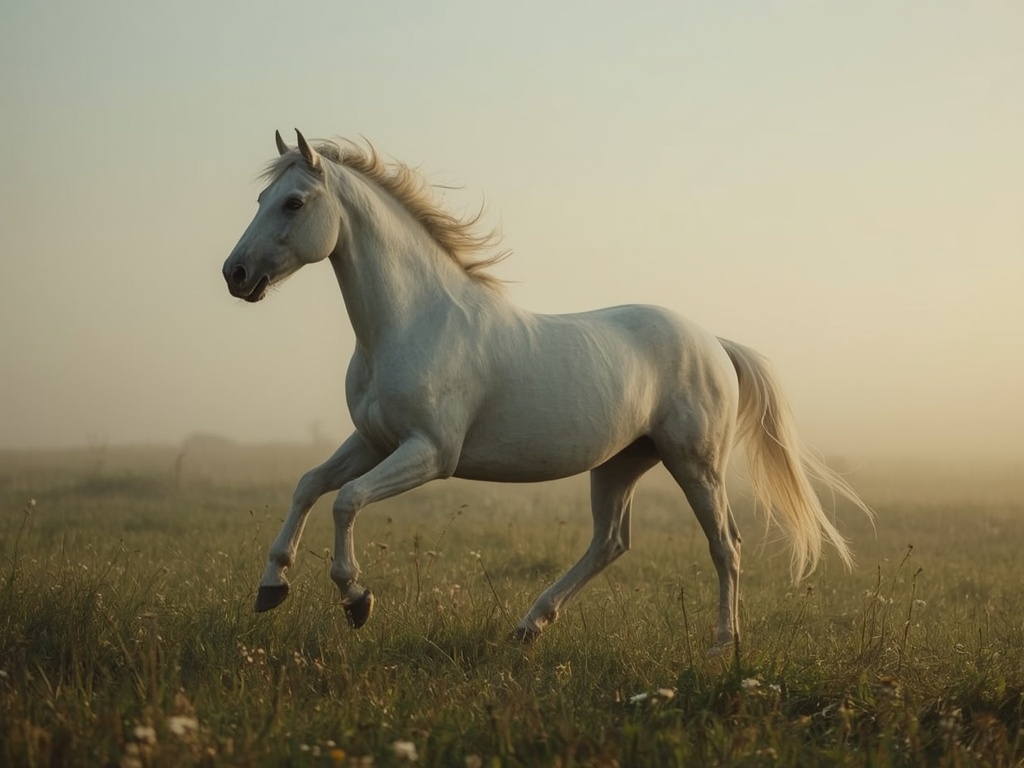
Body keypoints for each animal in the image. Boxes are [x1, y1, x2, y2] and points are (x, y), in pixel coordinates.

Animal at [222, 129, 872, 655]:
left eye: (293, 202)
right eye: (259, 200)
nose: (236, 274)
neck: (413, 322)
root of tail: (714, 342)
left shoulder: (430, 453)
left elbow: (346, 500)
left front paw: (356, 599)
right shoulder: (375, 440)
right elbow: (311, 485)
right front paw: (272, 586)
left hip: (695, 463)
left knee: (725, 545)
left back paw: (721, 646)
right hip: (620, 463)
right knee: (610, 543)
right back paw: (529, 625)